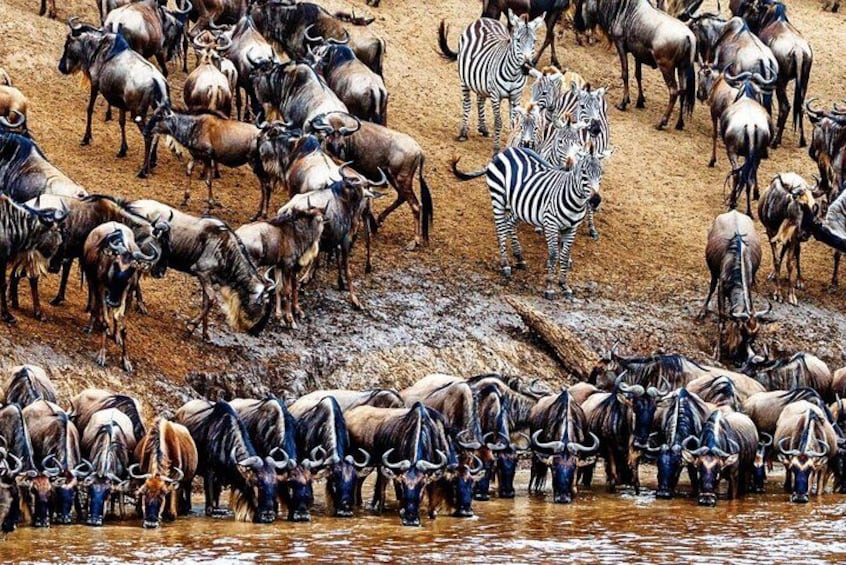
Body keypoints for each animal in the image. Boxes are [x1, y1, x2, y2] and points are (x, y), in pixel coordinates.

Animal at [438, 11, 544, 153]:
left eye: (534, 41)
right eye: (518, 40)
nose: (526, 67)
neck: (513, 74)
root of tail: (485, 19)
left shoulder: (516, 96)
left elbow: (514, 123)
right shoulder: (495, 95)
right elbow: (498, 122)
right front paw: (496, 148)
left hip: (480, 81)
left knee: (480, 101)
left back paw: (482, 128)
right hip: (464, 80)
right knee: (467, 104)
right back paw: (463, 133)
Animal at [451, 146, 611, 299]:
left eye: (601, 173)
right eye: (584, 172)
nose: (595, 201)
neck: (575, 202)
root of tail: (506, 150)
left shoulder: (572, 229)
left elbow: (565, 257)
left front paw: (564, 285)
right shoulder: (551, 224)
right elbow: (554, 255)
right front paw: (550, 288)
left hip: (520, 206)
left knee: (509, 224)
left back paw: (519, 257)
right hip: (498, 197)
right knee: (501, 228)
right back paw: (505, 265)